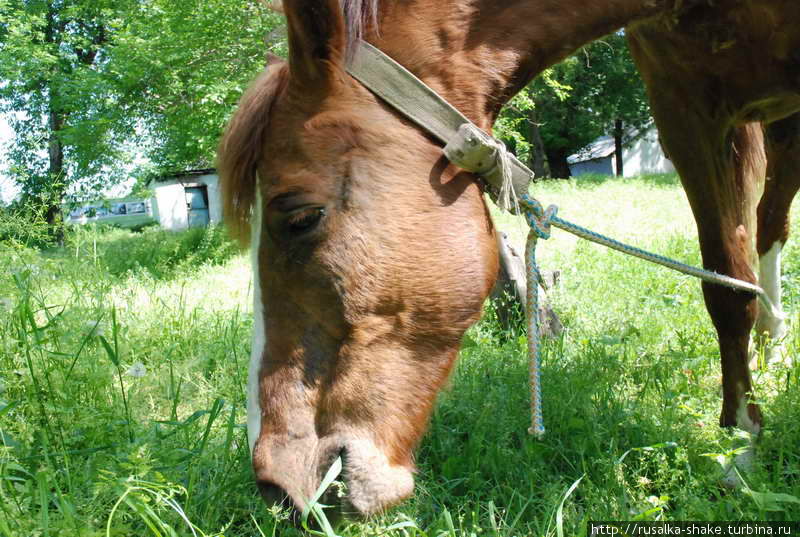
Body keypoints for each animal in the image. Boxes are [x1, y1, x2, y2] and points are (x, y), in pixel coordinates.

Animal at [219, 0, 800, 520]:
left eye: (300, 218)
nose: (275, 486)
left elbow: (731, 286)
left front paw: (739, 449)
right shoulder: (684, 110)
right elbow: (725, 285)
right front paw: (743, 439)